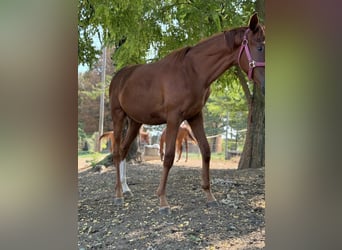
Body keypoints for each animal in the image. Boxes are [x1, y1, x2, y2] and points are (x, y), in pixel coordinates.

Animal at [109, 13, 264, 213]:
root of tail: (119, 76)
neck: (192, 72)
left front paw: (209, 195)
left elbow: (206, 150)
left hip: (135, 122)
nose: (266, 85)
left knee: (123, 150)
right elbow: (168, 157)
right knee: (117, 153)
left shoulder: (195, 116)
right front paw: (163, 201)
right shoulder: (174, 118)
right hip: (118, 116)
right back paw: (118, 194)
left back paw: (125, 189)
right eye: (260, 47)